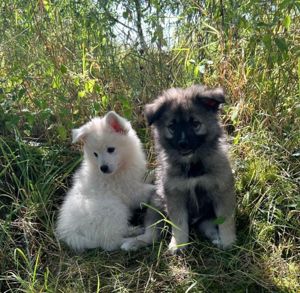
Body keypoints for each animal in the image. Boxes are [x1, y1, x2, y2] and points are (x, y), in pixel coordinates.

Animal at [55, 110, 154, 250]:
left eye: (111, 149)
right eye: (95, 154)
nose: (103, 168)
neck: (120, 169)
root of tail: (70, 233)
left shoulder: (135, 178)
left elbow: (145, 177)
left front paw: (154, 173)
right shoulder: (130, 191)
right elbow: (145, 191)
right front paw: (156, 187)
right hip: (113, 209)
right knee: (111, 242)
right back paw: (132, 238)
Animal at [120, 84, 236, 251]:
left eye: (195, 123)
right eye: (172, 127)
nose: (183, 144)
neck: (193, 166)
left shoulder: (222, 191)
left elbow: (226, 221)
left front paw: (228, 242)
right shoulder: (175, 195)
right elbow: (179, 223)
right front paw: (179, 244)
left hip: (204, 218)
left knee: (210, 229)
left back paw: (218, 239)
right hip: (157, 203)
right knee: (152, 234)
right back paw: (134, 242)